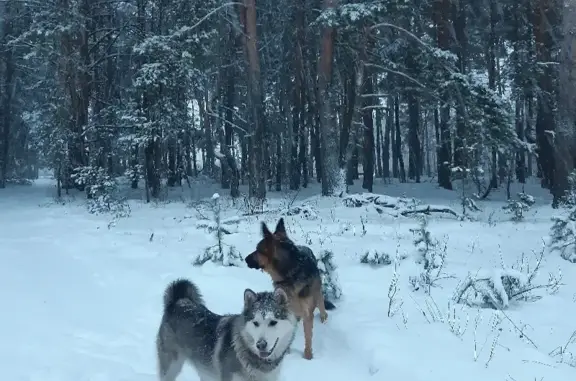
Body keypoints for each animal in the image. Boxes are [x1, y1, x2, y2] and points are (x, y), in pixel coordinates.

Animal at [244, 218, 338, 358]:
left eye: (257, 250)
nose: (245, 259)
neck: (290, 274)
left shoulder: (307, 312)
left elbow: (308, 337)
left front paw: (308, 357)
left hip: (318, 296)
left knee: (322, 308)